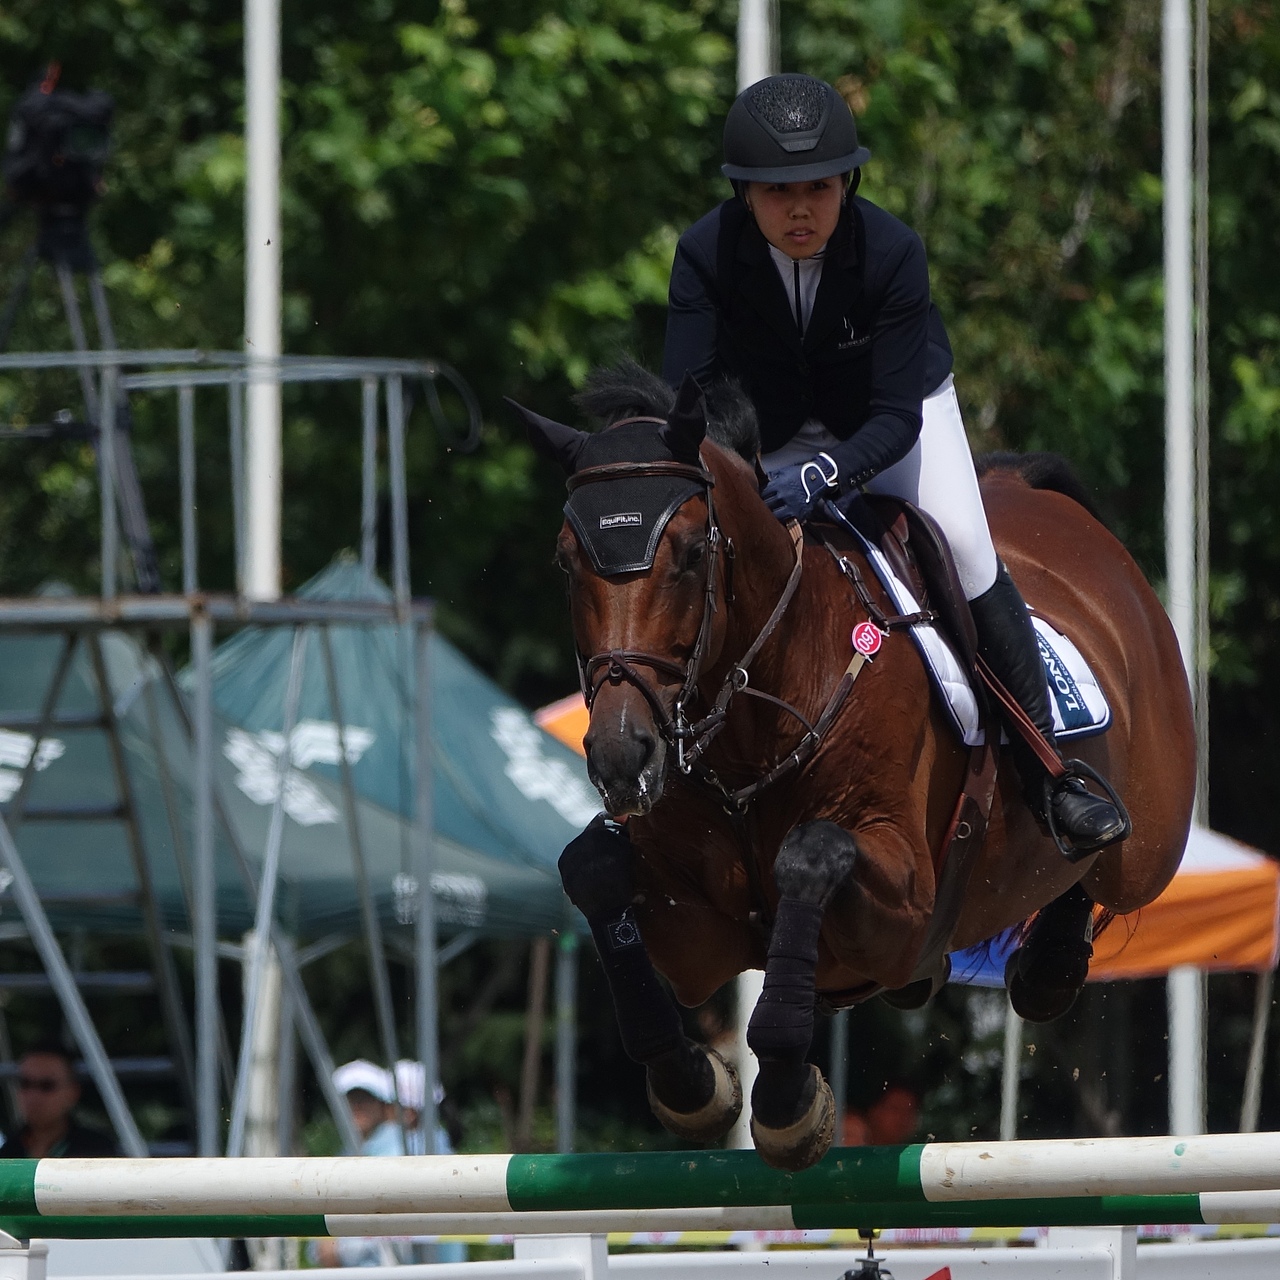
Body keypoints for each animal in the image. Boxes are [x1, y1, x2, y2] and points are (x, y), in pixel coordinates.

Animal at [510, 363, 1194, 1170]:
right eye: (565, 560)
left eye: (688, 555)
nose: (622, 755)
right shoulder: (702, 944)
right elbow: (592, 867)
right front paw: (693, 1086)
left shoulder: (907, 907)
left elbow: (810, 854)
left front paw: (786, 1100)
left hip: (1150, 843)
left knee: (1103, 870)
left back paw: (1057, 933)